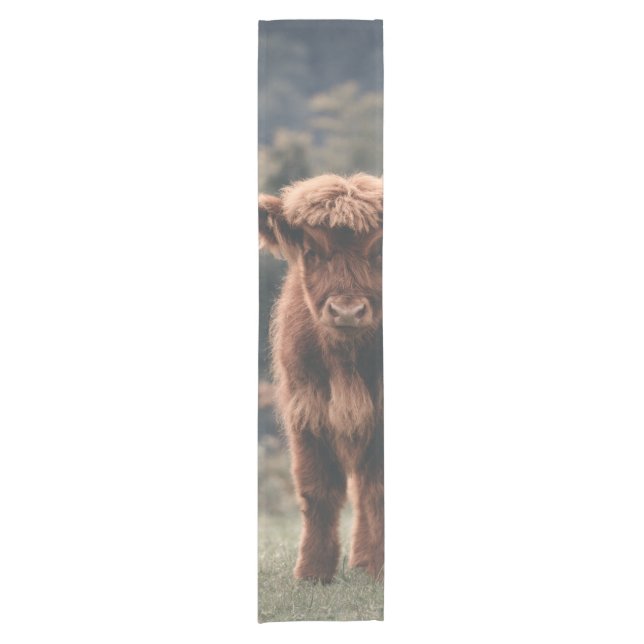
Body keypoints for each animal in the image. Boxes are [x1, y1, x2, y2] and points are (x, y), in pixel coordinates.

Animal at [258, 173, 383, 583]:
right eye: (312, 251)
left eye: (379, 250)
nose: (346, 311)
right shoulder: (307, 411)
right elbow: (317, 490)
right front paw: (312, 573)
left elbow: (377, 489)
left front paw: (379, 567)